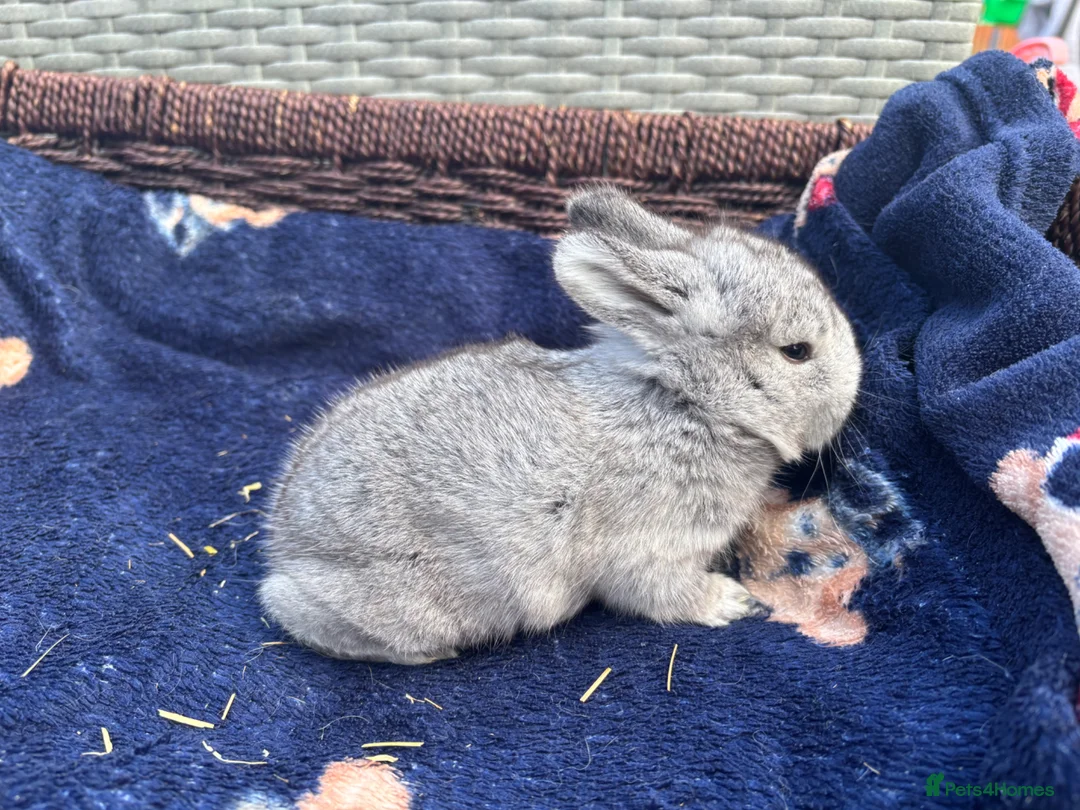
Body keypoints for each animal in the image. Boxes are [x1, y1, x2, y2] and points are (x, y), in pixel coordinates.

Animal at [259, 187, 863, 665]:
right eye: (797, 351)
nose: (855, 388)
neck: (688, 403)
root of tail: (283, 548)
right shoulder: (651, 551)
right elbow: (666, 595)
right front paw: (733, 601)